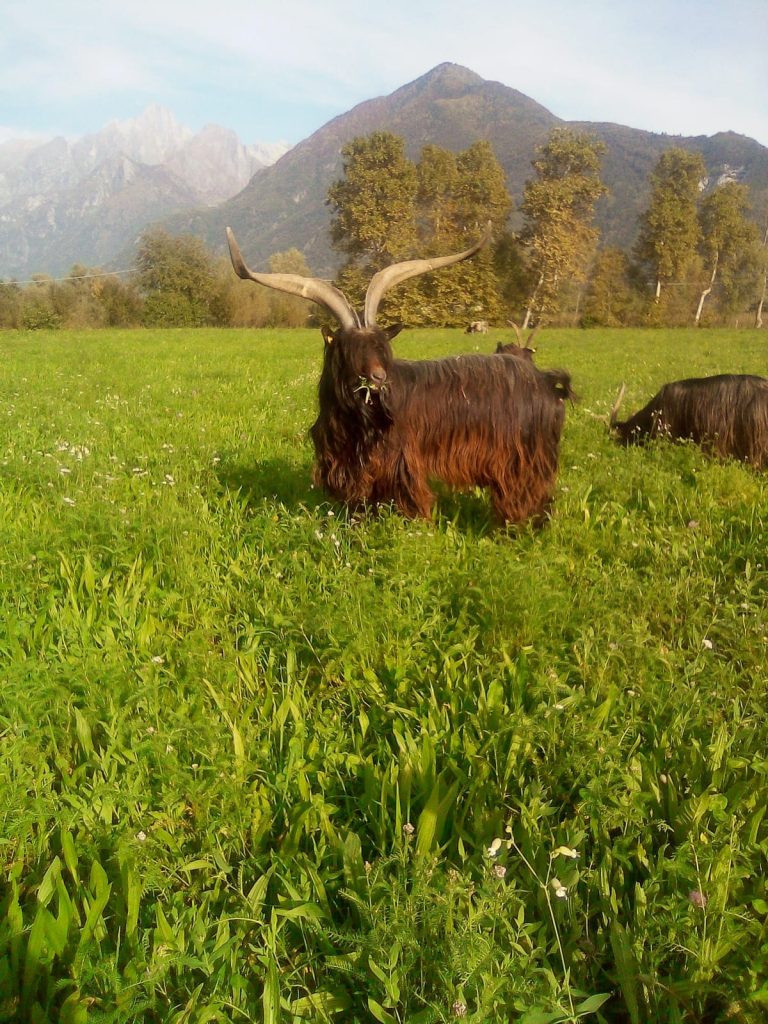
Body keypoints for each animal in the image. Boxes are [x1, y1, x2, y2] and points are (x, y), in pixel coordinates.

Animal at [225, 227, 573, 524]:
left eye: (382, 346)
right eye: (349, 349)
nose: (378, 379)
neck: (358, 420)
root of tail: (546, 382)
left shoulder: (402, 460)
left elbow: (411, 497)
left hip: (523, 460)